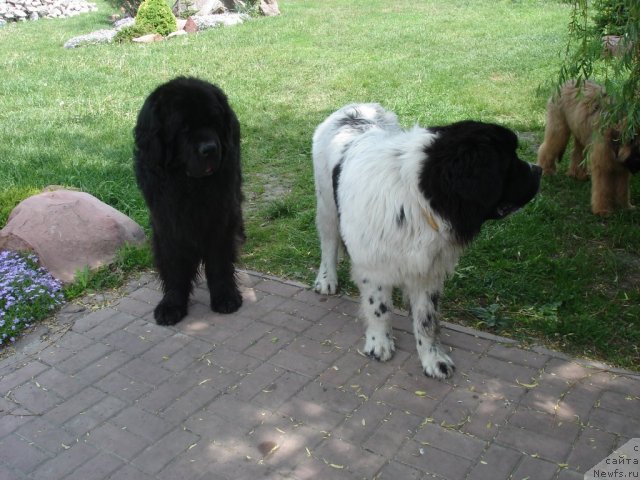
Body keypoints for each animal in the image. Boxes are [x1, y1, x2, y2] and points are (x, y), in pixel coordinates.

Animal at [134, 77, 244, 326]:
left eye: (213, 122)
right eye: (183, 128)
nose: (210, 149)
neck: (189, 185)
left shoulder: (219, 216)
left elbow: (219, 261)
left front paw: (225, 297)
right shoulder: (167, 222)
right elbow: (174, 266)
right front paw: (172, 304)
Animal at [312, 104, 544, 378]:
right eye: (510, 162)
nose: (539, 170)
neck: (416, 200)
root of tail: (355, 107)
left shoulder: (429, 269)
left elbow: (426, 320)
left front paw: (433, 359)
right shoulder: (373, 265)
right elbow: (379, 308)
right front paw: (379, 342)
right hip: (326, 203)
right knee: (328, 241)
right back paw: (326, 279)